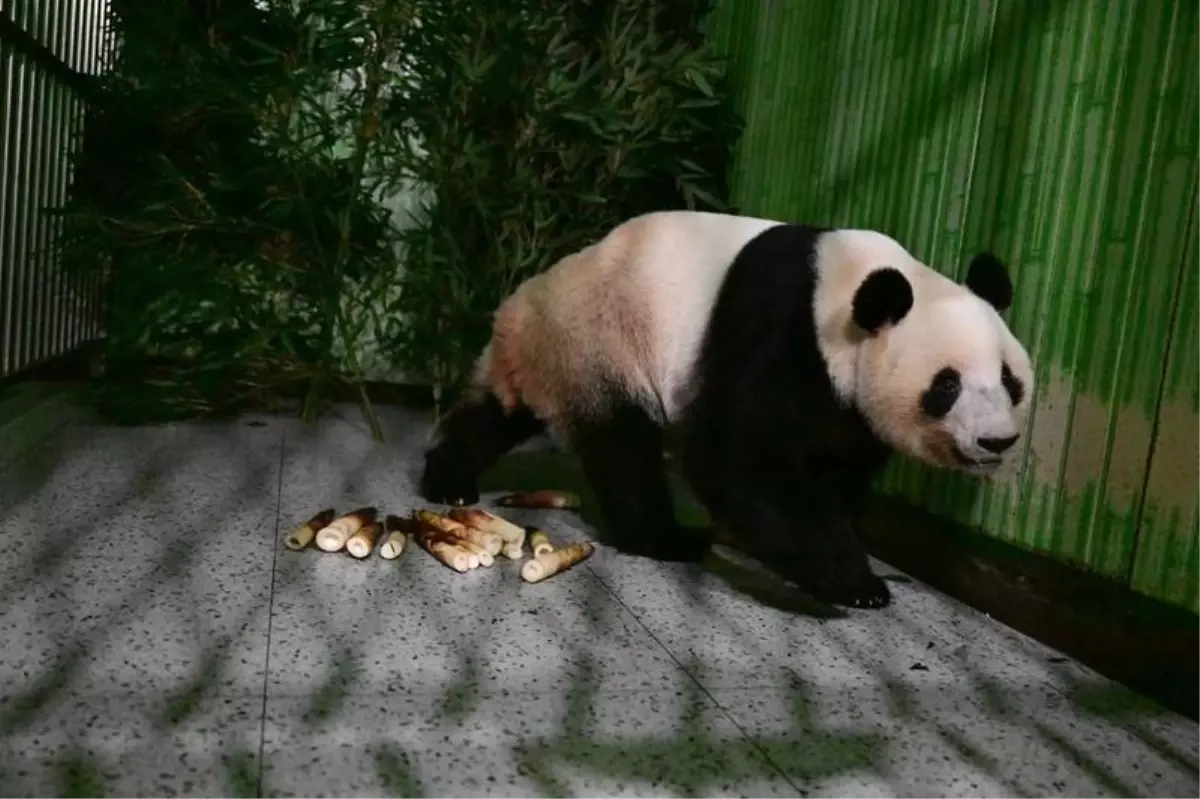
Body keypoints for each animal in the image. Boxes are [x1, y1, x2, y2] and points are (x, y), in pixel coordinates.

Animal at [419, 210, 1035, 609]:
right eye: (947, 386)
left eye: (1010, 380)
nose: (996, 441)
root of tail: (520, 303)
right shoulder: (779, 329)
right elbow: (737, 457)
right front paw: (853, 582)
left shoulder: (848, 406)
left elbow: (836, 467)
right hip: (599, 343)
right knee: (624, 448)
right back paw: (668, 538)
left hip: (550, 357)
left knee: (496, 415)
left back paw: (448, 480)